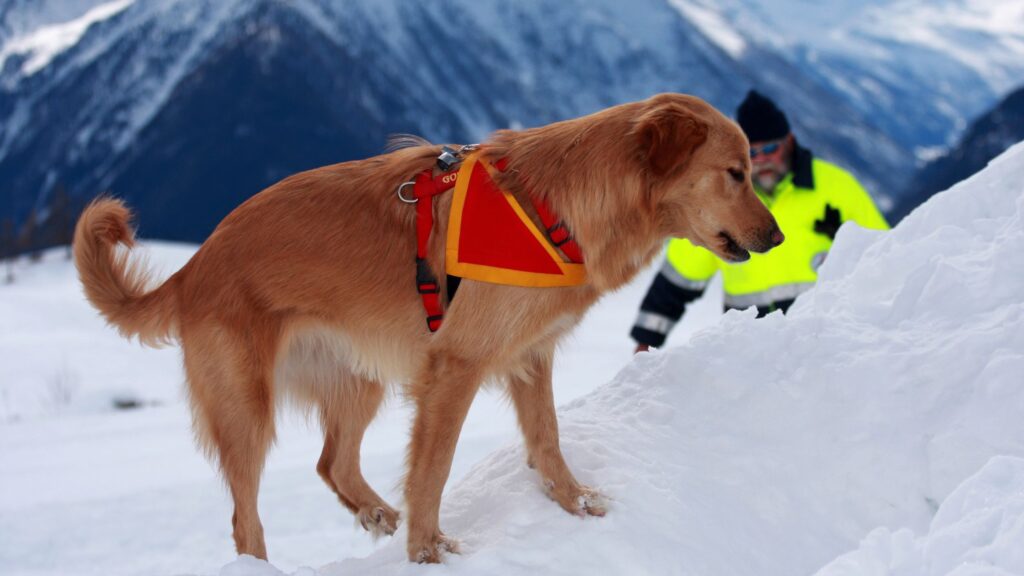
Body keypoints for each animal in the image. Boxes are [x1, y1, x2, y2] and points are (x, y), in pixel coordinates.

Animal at [74, 90, 782, 561]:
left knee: (333, 464)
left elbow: (547, 440)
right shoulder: (455, 369)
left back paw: (376, 514)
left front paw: (574, 503)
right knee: (246, 523)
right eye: (735, 173)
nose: (777, 238)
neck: (552, 203)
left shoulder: (529, 359)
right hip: (246, 409)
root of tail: (194, 267)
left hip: (357, 381)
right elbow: (433, 470)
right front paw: (426, 553)